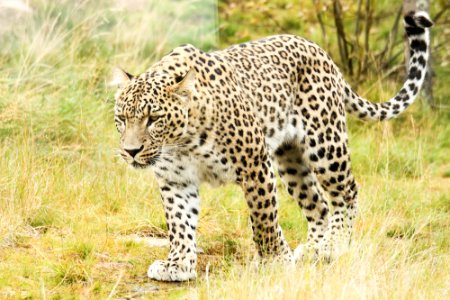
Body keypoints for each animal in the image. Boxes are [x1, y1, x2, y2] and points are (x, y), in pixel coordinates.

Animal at [110, 11, 430, 282]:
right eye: (122, 119)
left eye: (153, 119)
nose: (131, 151)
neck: (181, 141)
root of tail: (319, 50)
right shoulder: (175, 179)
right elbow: (179, 223)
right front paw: (177, 265)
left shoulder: (254, 164)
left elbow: (263, 217)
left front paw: (274, 260)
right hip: (290, 160)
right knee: (318, 204)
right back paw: (315, 248)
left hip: (325, 145)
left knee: (346, 191)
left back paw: (334, 246)